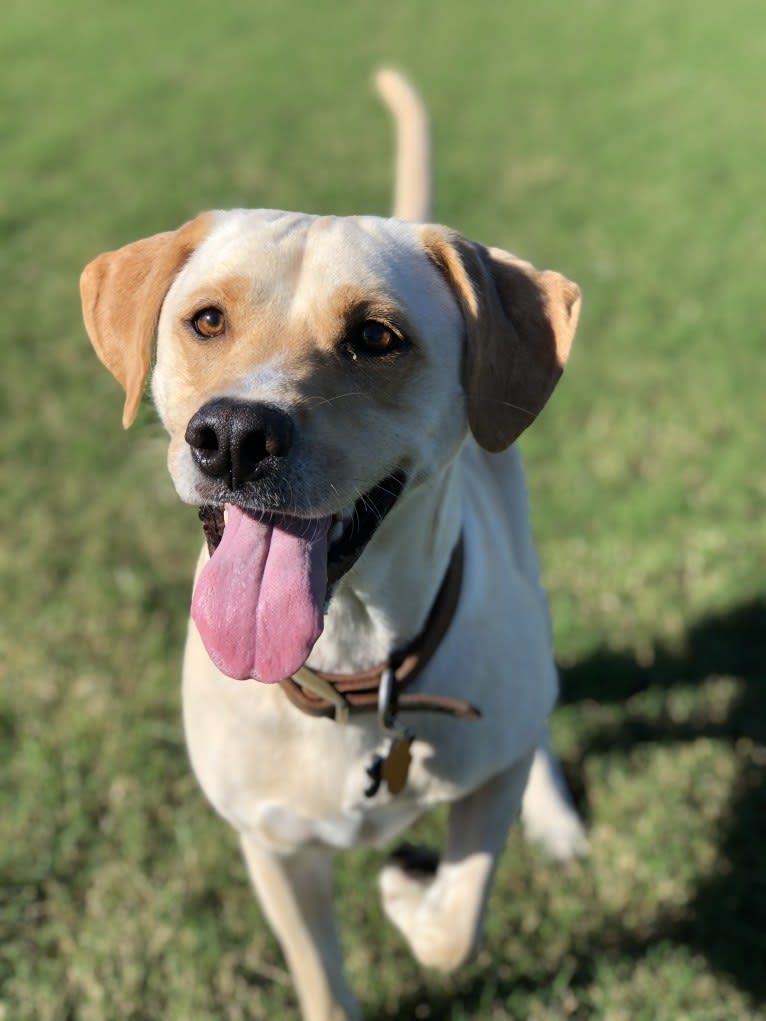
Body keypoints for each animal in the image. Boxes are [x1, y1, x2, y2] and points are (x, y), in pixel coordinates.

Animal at [79, 71, 588, 1021]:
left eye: (376, 336)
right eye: (207, 320)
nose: (234, 437)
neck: (350, 663)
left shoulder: (483, 780)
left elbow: (457, 917)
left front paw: (407, 893)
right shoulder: (272, 847)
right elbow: (319, 975)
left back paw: (555, 817)